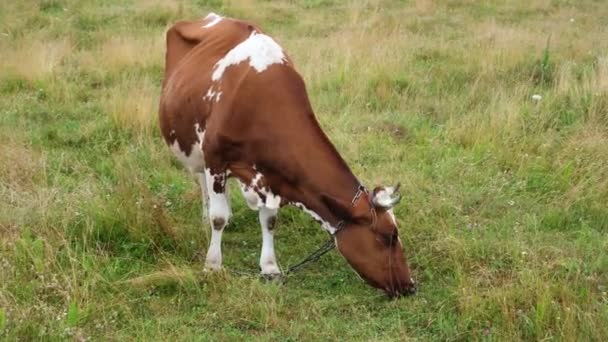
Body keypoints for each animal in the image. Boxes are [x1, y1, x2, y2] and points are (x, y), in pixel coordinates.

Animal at [157, 12, 416, 296]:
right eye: (388, 236)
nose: (410, 285)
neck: (261, 104)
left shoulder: (273, 177)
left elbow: (269, 221)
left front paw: (270, 268)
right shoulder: (215, 158)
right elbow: (218, 218)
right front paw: (212, 266)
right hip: (194, 148)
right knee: (202, 183)